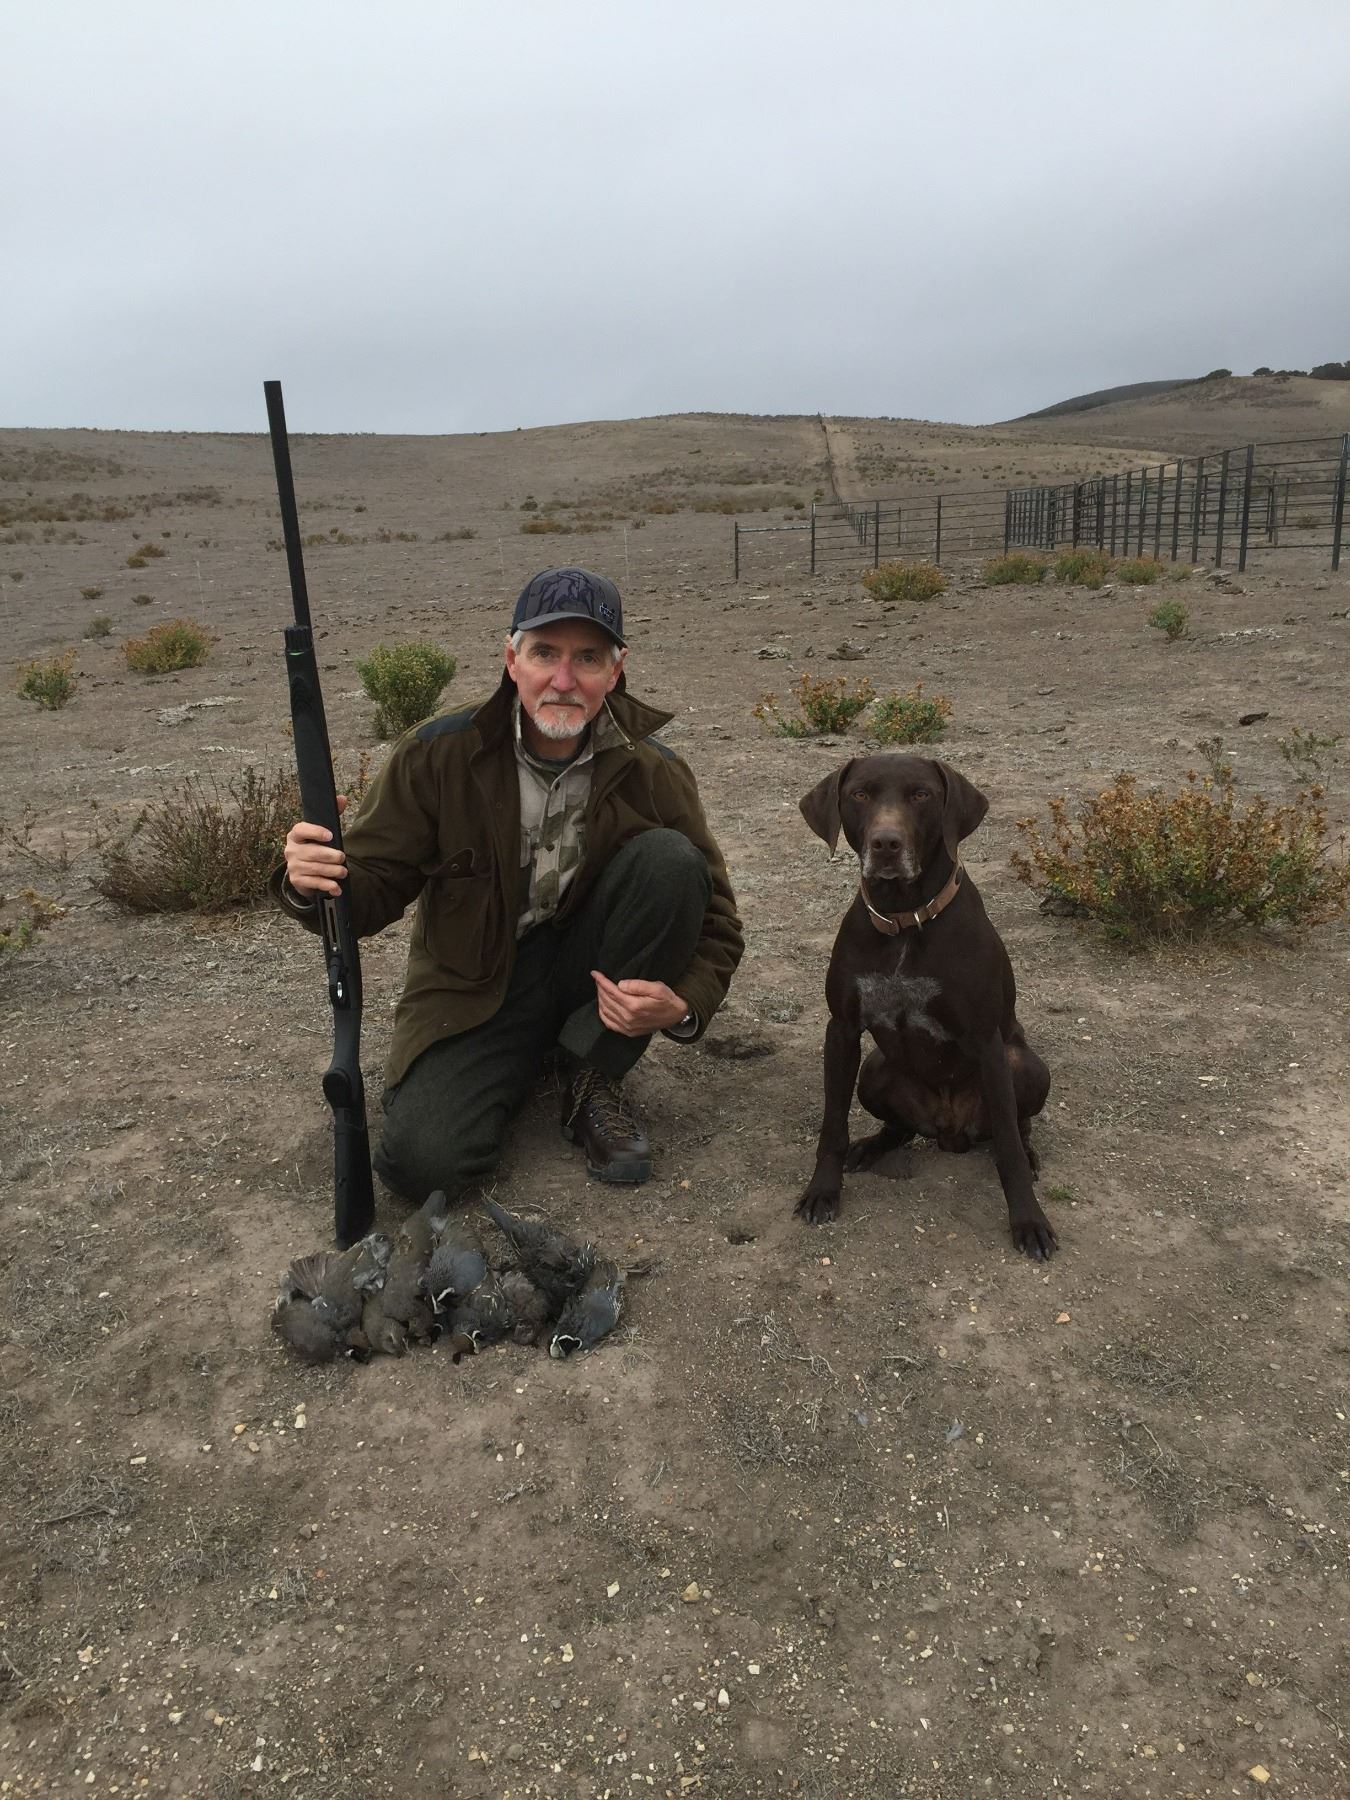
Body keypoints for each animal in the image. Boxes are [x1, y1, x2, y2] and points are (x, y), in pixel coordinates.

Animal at [795, 754, 1056, 1260]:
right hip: (874, 1070)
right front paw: (822, 1190)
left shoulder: (987, 1042)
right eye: (859, 794)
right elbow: (832, 1128)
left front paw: (1028, 1220)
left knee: (1016, 1127)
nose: (886, 844)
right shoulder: (841, 1030)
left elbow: (1009, 1149)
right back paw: (872, 1146)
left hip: (1023, 1064)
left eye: (921, 794)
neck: (904, 918)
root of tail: (949, 1132)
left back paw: (1029, 1152)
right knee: (900, 1127)